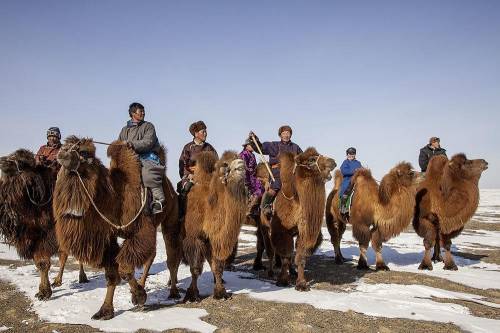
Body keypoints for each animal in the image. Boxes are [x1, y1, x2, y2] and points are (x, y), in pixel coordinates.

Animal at [0, 148, 88, 298]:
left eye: (21, 162)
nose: (3, 161)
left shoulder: (48, 234)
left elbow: (43, 262)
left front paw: (44, 292)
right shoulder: (32, 236)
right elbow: (39, 262)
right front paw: (44, 290)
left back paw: (82, 278)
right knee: (64, 255)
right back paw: (58, 281)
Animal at [55, 136, 180, 318]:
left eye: (84, 151)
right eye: (66, 145)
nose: (62, 153)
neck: (115, 199)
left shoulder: (141, 230)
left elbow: (125, 268)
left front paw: (139, 296)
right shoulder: (109, 236)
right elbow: (112, 274)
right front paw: (105, 310)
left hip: (169, 219)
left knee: (170, 257)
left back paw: (173, 292)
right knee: (152, 255)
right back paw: (144, 283)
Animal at [183, 150, 247, 300]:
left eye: (239, 159)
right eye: (227, 164)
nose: (241, 166)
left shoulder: (214, 240)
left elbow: (217, 267)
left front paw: (220, 292)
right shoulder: (195, 238)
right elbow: (195, 269)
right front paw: (192, 294)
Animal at [270, 147, 336, 288]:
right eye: (311, 159)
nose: (333, 162)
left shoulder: (304, 231)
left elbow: (301, 256)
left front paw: (301, 283)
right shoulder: (281, 231)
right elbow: (286, 256)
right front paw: (282, 280)